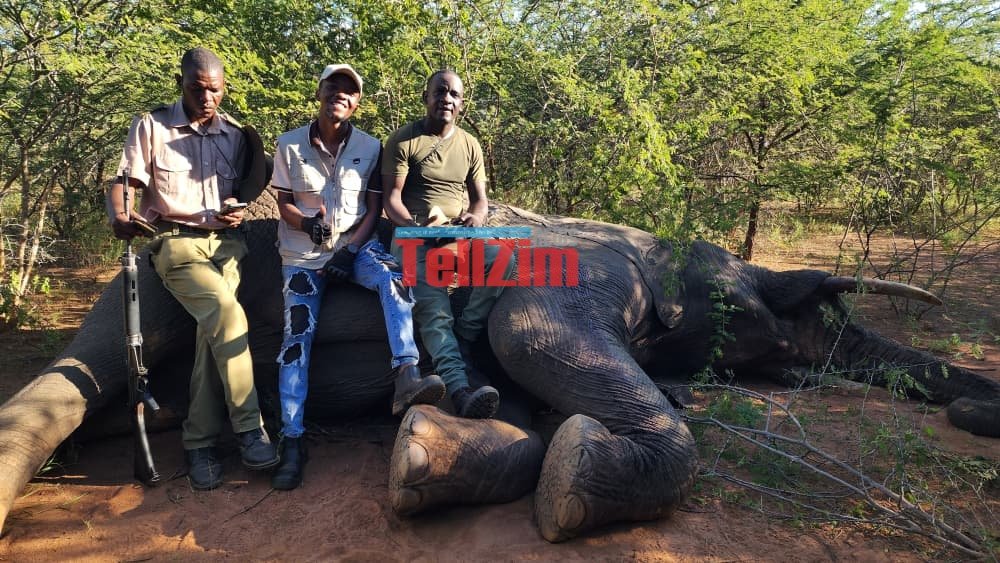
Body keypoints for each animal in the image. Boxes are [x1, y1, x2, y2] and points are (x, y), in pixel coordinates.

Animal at [0, 191, 997, 541]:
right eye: (779, 329)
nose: (970, 411)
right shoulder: (583, 279)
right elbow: (527, 335)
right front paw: (577, 486)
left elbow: (517, 394)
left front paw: (426, 452)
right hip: (150, 284)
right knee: (74, 380)